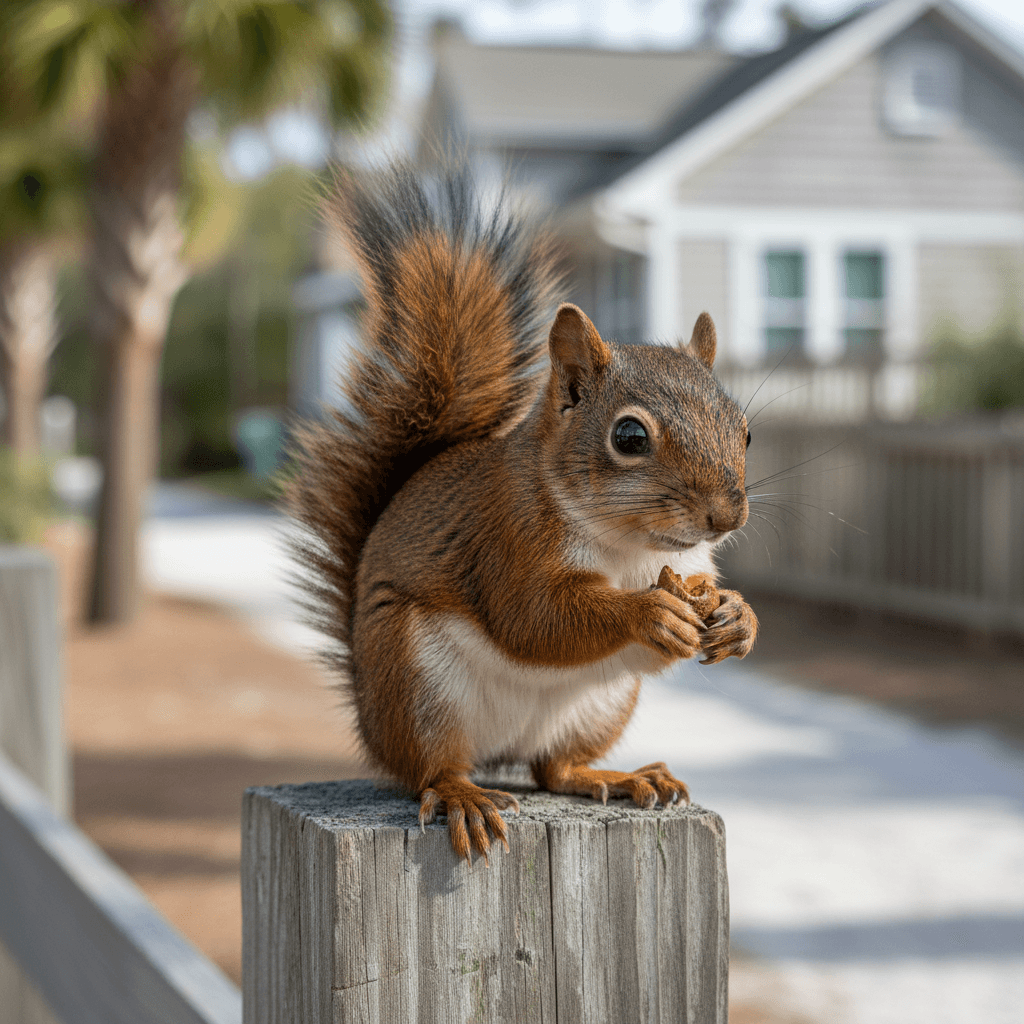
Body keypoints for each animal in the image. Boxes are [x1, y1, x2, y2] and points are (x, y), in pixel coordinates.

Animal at [287, 163, 758, 863]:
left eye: (746, 432)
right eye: (629, 436)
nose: (726, 518)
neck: (630, 547)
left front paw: (737, 617)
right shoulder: (506, 536)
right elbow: (531, 617)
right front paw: (648, 612)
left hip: (601, 703)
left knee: (554, 768)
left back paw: (621, 777)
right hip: (419, 686)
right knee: (430, 769)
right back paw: (464, 796)